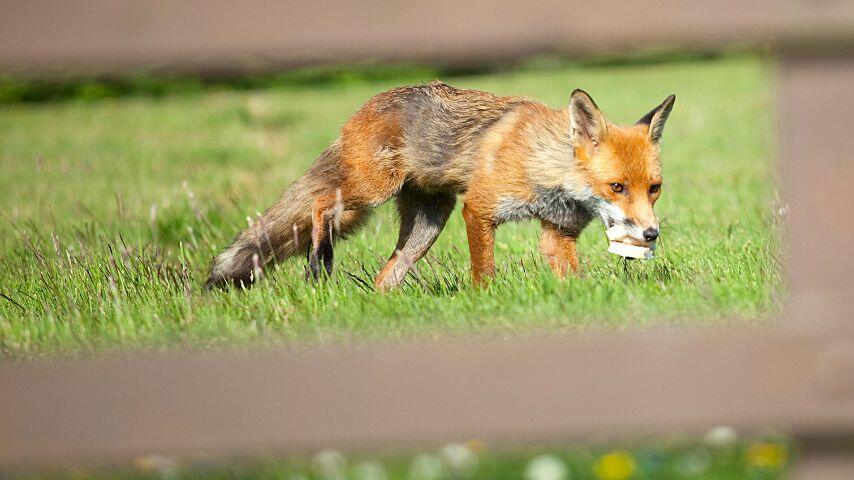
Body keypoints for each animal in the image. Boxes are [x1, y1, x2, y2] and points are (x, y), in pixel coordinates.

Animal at [207, 83, 676, 290]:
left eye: (654, 188)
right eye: (616, 186)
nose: (652, 233)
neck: (549, 170)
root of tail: (364, 105)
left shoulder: (556, 233)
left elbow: (573, 278)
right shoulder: (479, 208)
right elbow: (484, 271)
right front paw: (486, 302)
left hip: (427, 226)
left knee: (385, 276)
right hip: (371, 192)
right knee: (321, 202)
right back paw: (319, 264)